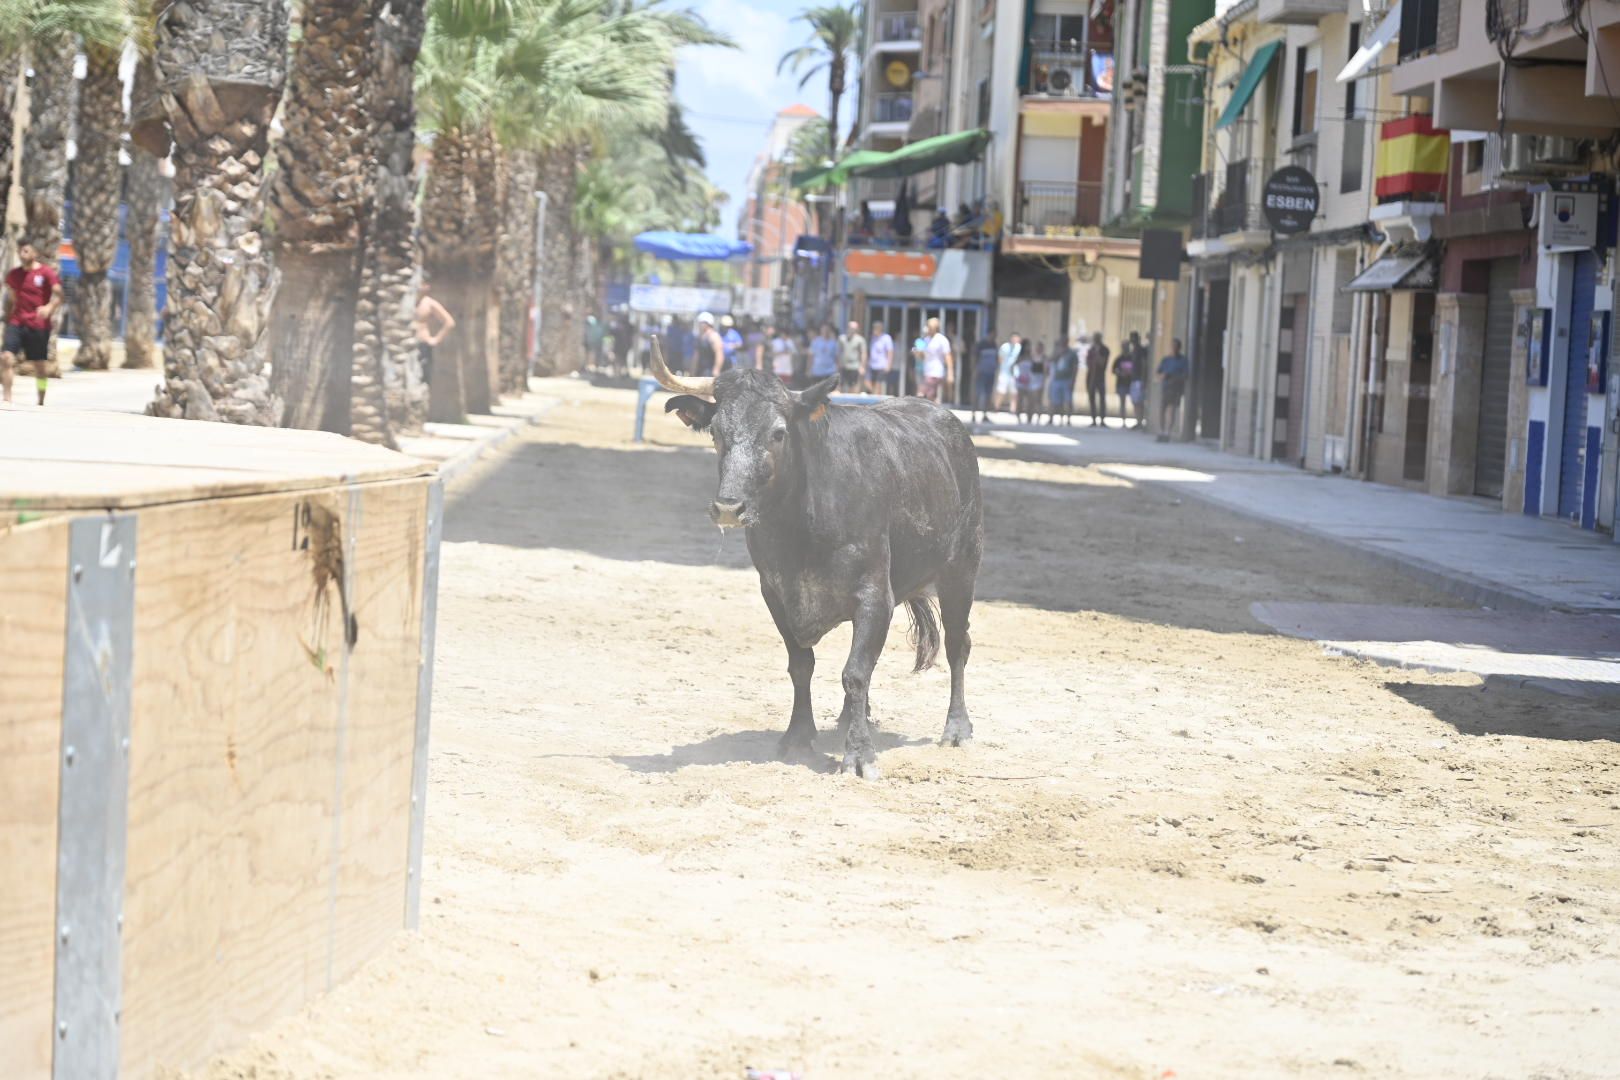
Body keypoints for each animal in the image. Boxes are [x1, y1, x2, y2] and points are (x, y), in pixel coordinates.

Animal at [648, 340, 978, 777]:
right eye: (717, 433)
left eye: (778, 433)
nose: (728, 508)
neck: (800, 526)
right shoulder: (775, 592)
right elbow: (802, 665)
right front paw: (798, 736)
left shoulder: (875, 595)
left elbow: (855, 673)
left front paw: (859, 754)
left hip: (963, 569)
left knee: (958, 644)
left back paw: (956, 729)